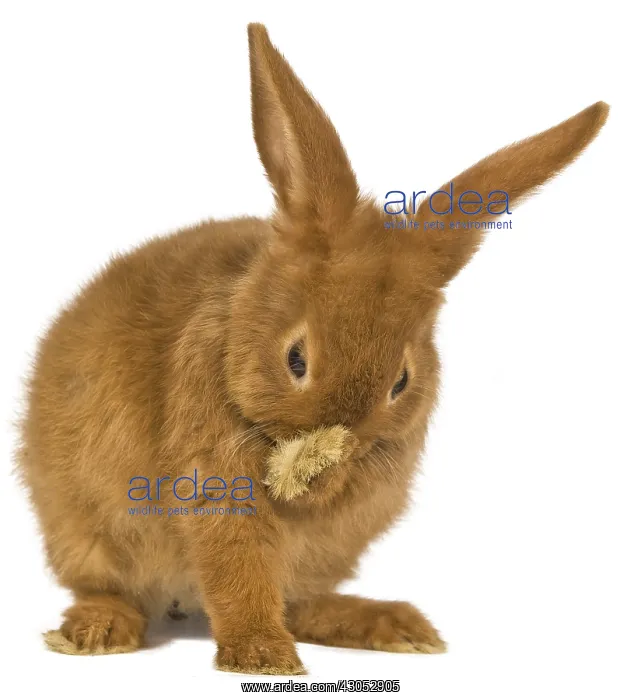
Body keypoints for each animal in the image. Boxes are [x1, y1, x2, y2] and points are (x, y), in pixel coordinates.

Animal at [15, 22, 609, 675]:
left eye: (401, 381)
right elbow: (236, 564)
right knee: (110, 587)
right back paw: (96, 631)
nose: (327, 453)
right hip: (85, 531)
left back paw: (395, 626)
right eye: (295, 359)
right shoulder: (214, 482)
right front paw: (264, 659)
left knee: (303, 602)